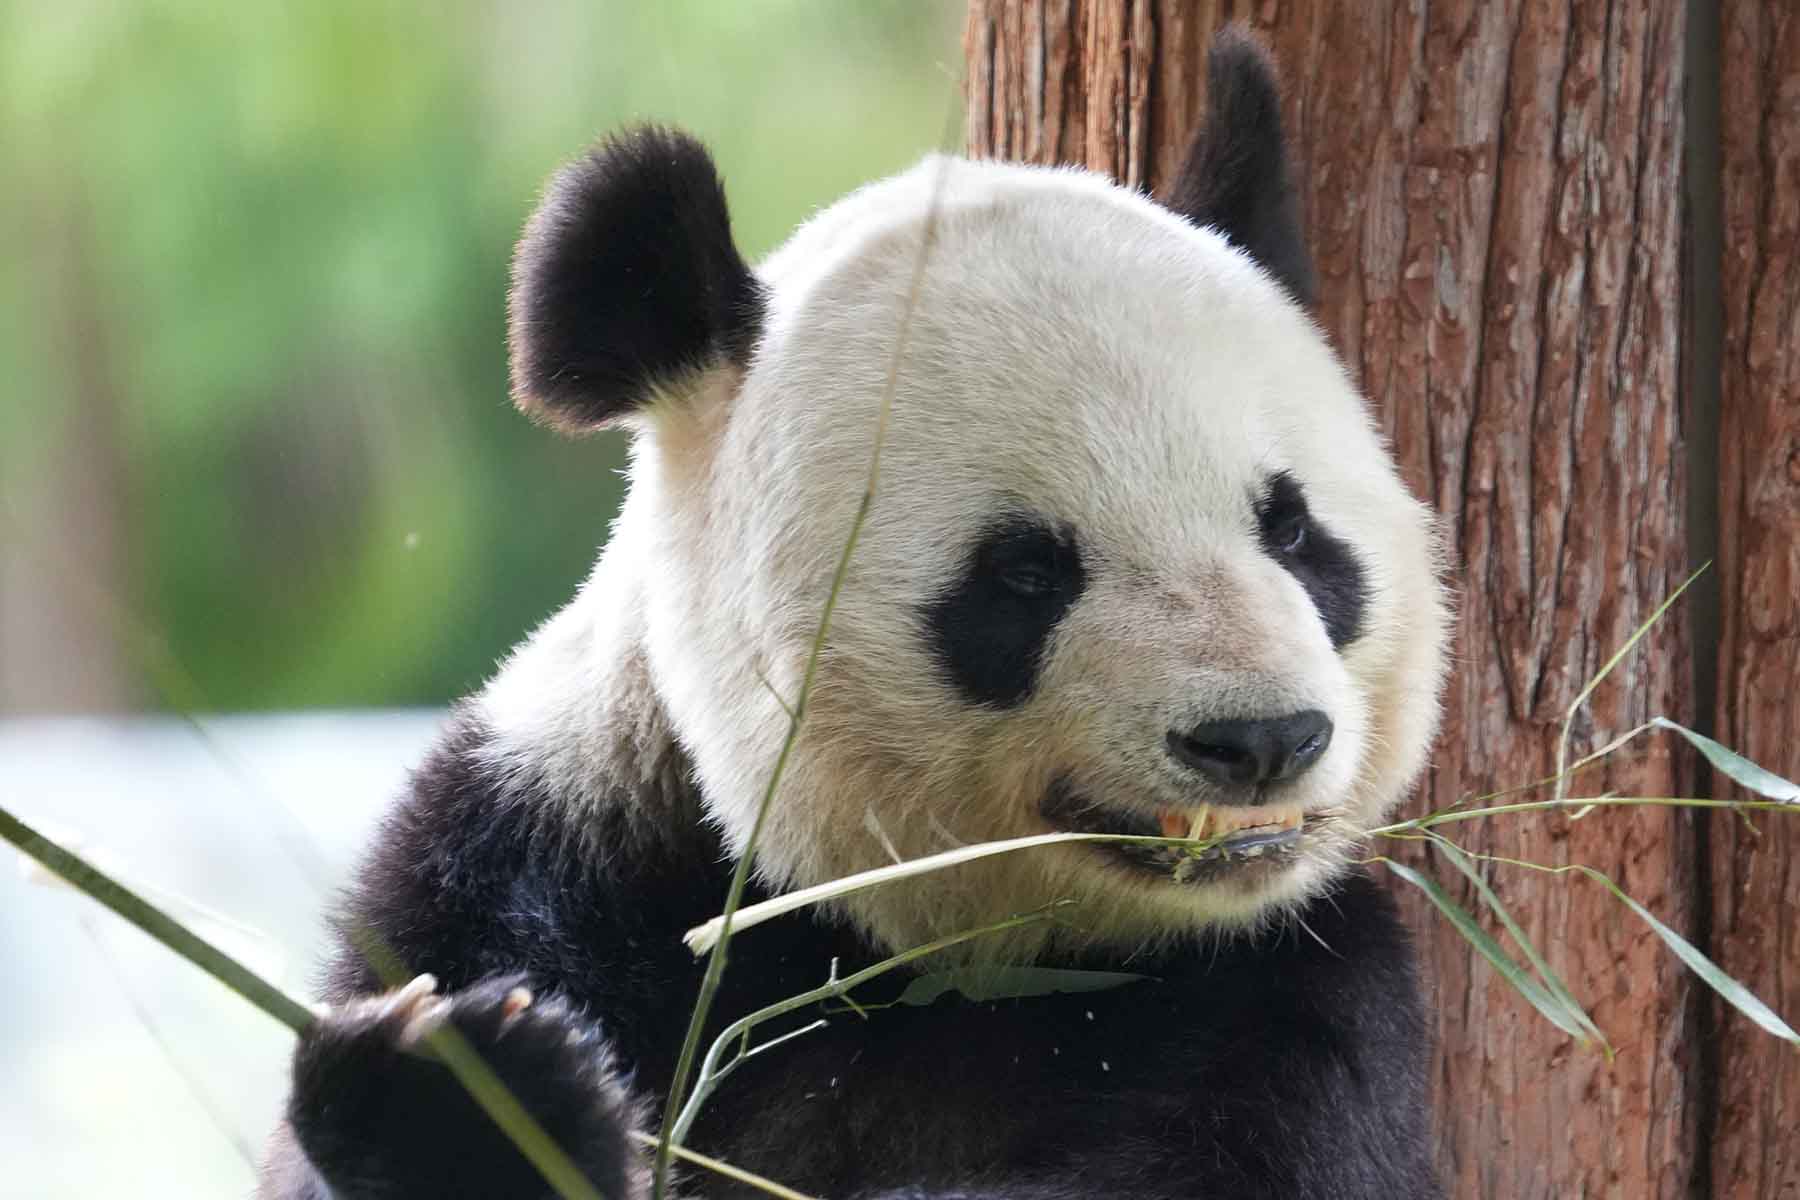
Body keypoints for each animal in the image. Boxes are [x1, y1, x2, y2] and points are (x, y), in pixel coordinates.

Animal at [261, 28, 1449, 1200]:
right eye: (1026, 572)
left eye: (1292, 530)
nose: (1260, 740)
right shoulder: (542, 851)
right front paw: (465, 1097)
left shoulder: (1294, 996)